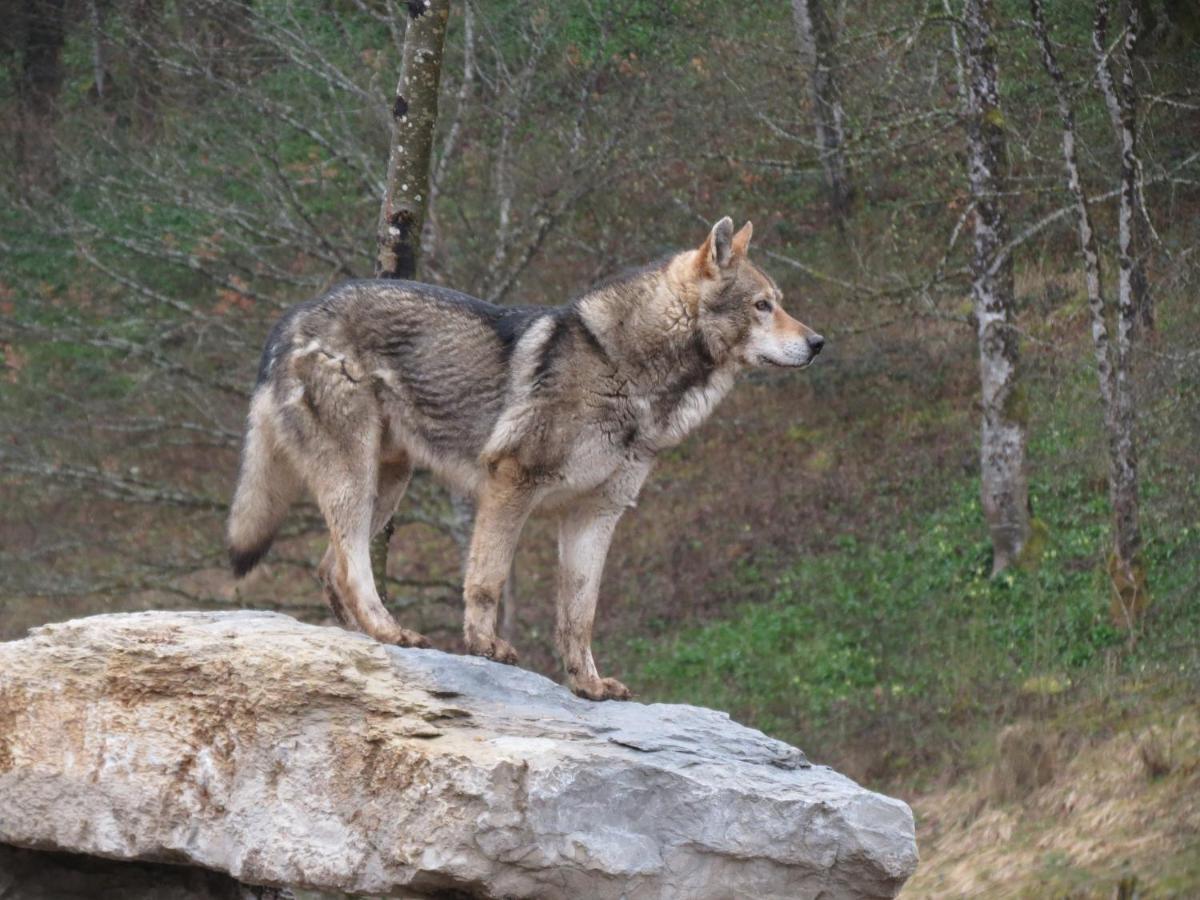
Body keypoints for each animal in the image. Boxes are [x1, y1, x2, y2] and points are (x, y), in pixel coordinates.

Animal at [225, 218, 825, 705]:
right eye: (763, 306)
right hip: (356, 477)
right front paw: (485, 645)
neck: (626, 370)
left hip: (388, 482)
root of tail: (292, 318)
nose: (819, 342)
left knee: (331, 568)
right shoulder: (512, 482)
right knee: (351, 566)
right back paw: (391, 632)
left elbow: (579, 614)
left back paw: (370, 642)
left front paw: (588, 684)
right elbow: (487, 580)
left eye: (780, 301)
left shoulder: (596, 515)